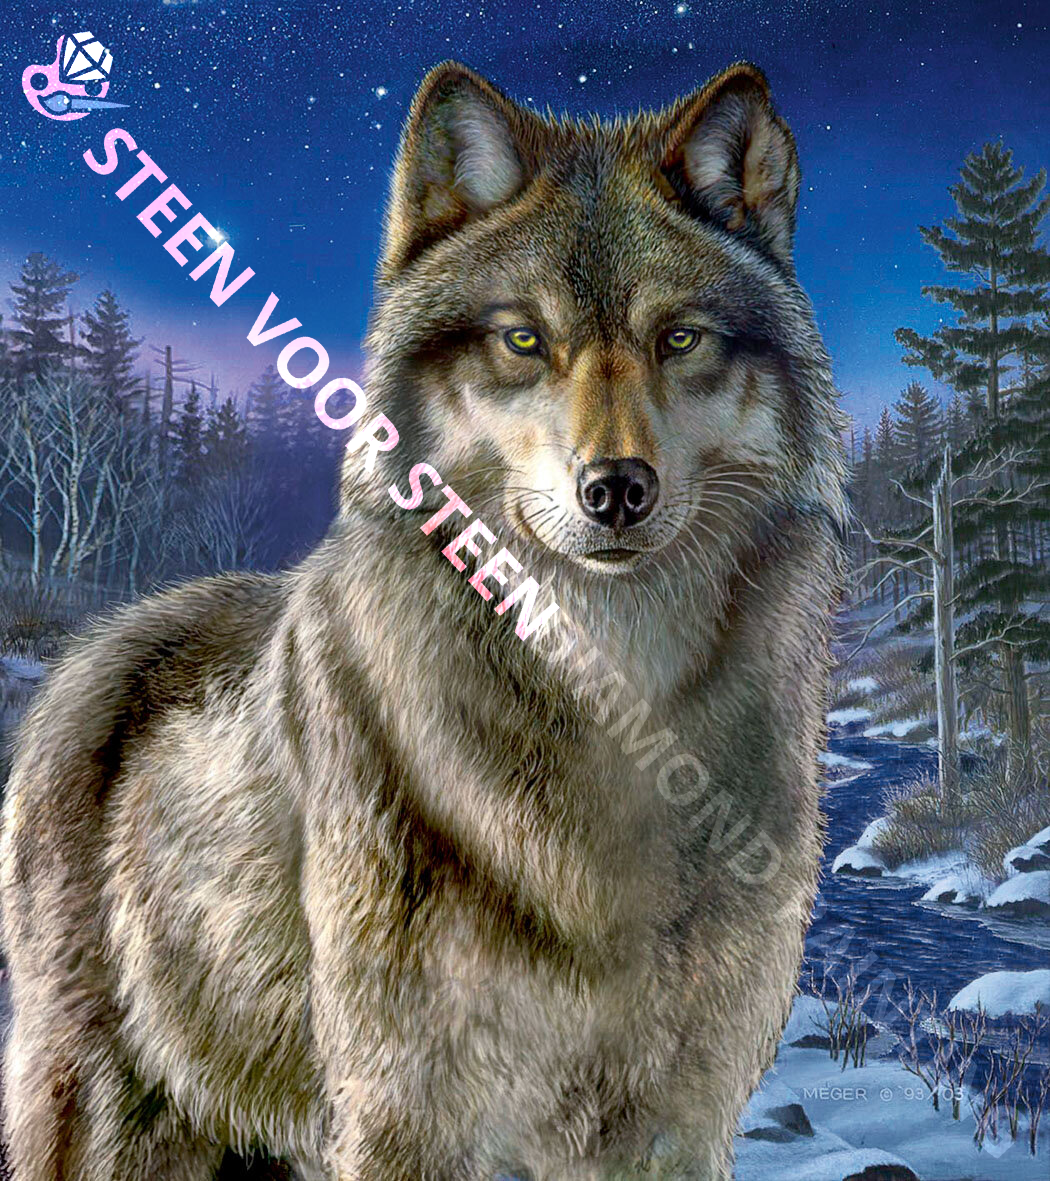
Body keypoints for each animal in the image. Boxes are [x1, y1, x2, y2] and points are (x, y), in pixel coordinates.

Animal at [1, 60, 846, 1180]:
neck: (610, 715)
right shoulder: (408, 1113)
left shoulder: (678, 1122)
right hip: (109, 1117)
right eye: (523, 339)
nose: (616, 489)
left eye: (680, 339)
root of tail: (93, 648)